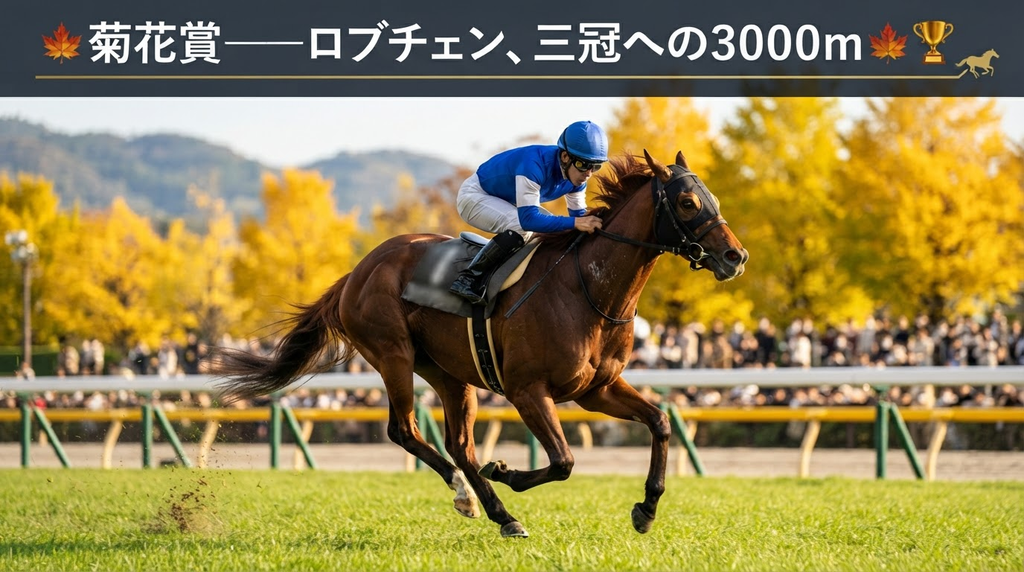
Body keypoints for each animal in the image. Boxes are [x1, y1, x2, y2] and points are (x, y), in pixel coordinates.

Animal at [215, 150, 748, 538]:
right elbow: (563, 461)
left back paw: (495, 511)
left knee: (459, 443)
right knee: (405, 430)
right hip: (393, 355)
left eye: (714, 197)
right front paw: (506, 471)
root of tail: (357, 272)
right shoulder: (527, 390)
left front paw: (646, 508)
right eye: (687, 203)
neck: (588, 288)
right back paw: (473, 496)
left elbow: (660, 422)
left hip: (449, 373)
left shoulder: (596, 389)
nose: (735, 257)